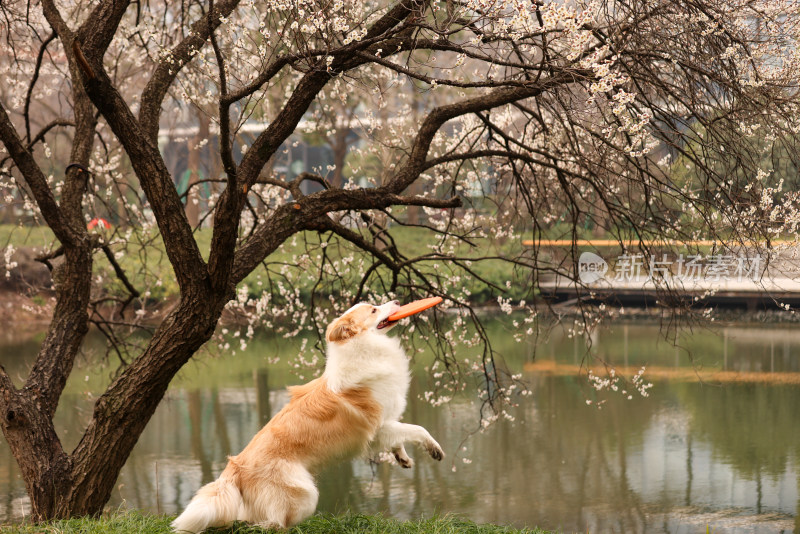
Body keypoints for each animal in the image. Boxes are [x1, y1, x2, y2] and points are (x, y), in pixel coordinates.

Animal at [172, 304, 444, 532]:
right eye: (374, 309)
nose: (397, 301)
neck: (363, 348)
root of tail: (235, 466)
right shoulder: (377, 427)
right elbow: (418, 429)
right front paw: (434, 449)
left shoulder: (386, 424)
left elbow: (400, 437)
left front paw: (403, 458)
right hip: (304, 495)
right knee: (273, 523)